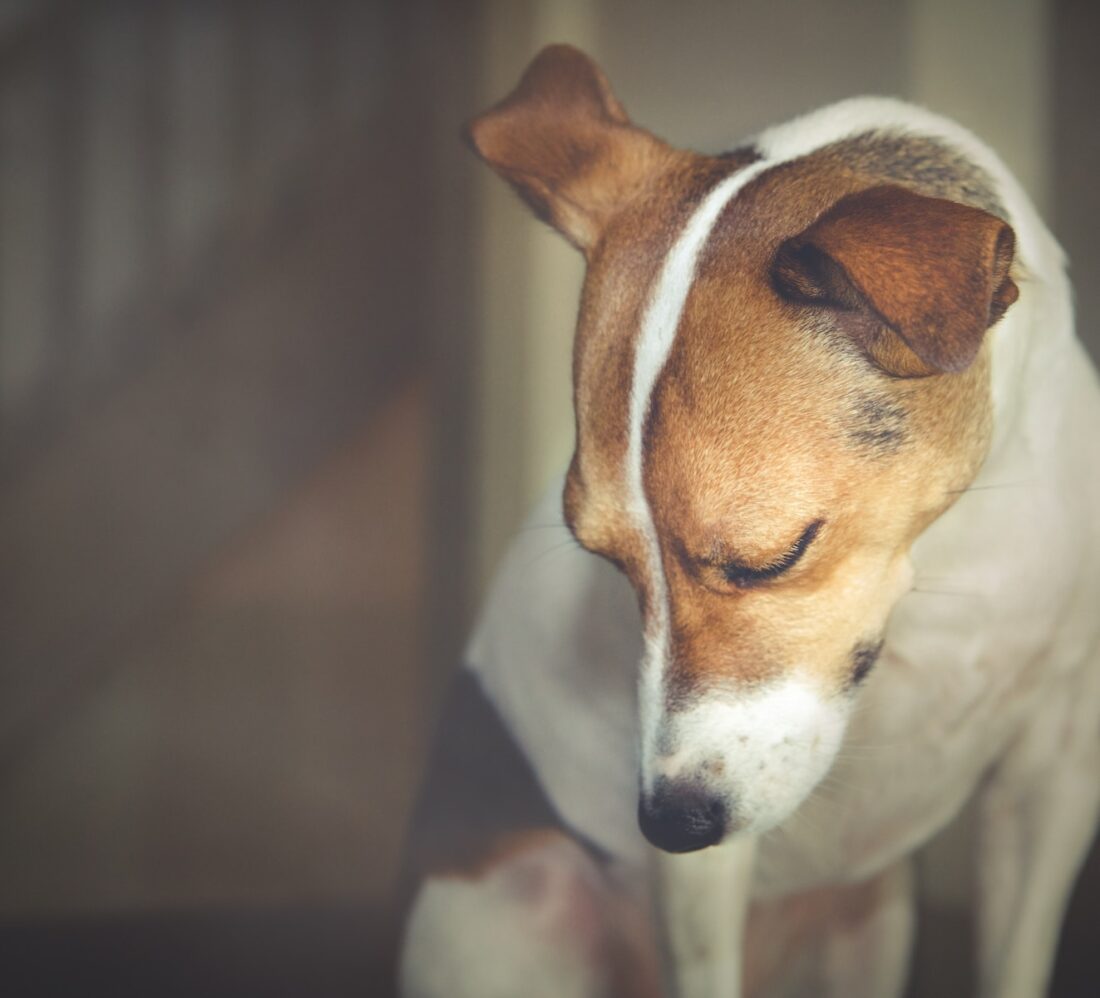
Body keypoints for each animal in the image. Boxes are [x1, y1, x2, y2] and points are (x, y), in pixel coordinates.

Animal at [396, 46, 1100, 998]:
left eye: (771, 558)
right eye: (608, 563)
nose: (669, 823)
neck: (947, 554)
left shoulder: (1052, 776)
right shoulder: (702, 876)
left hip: (872, 920)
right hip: (517, 909)